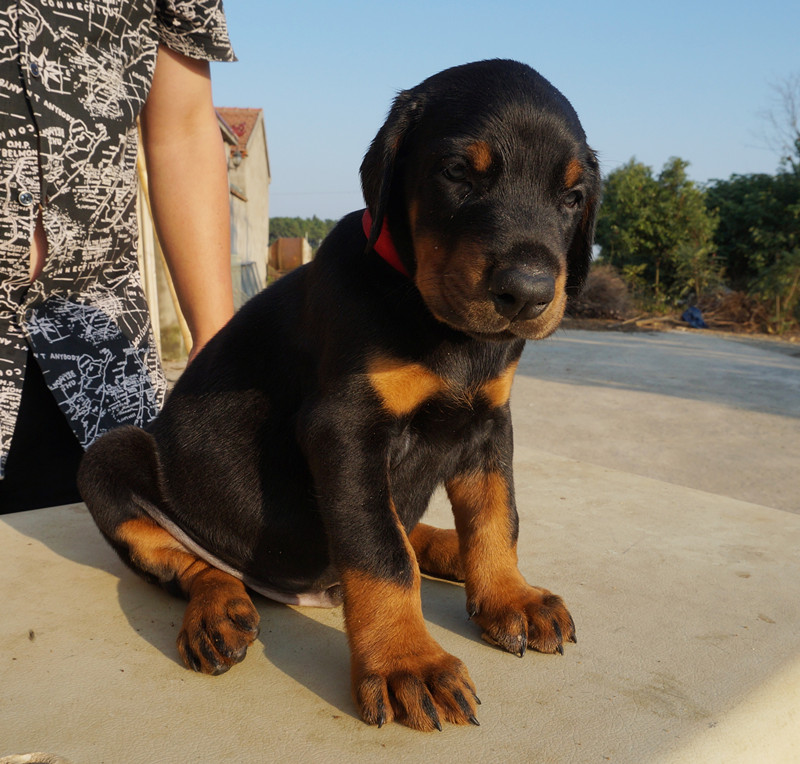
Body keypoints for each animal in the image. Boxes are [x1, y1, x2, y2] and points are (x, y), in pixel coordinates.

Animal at [78, 58, 600, 728]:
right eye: (458, 172)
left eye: (573, 197)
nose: (529, 293)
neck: (437, 322)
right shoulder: (345, 426)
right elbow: (380, 551)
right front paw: (408, 663)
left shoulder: (488, 419)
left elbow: (495, 513)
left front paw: (509, 595)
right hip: (111, 458)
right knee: (191, 563)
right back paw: (217, 610)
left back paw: (447, 549)